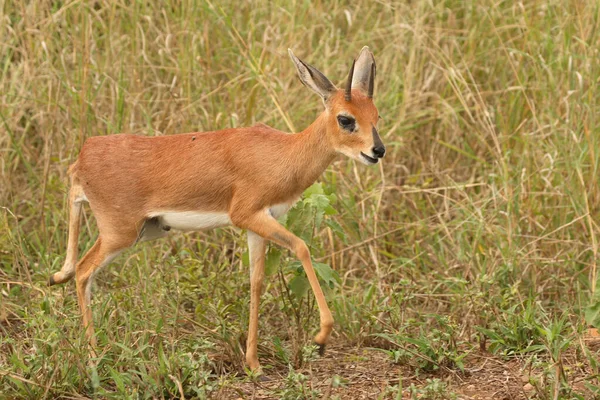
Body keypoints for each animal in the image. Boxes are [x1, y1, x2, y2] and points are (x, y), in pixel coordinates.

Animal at [48, 46, 384, 372]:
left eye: (376, 116)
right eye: (345, 119)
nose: (377, 151)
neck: (282, 153)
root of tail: (86, 154)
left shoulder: (257, 224)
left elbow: (256, 282)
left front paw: (253, 364)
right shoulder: (246, 214)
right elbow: (301, 247)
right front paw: (321, 338)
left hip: (145, 230)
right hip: (119, 233)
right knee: (83, 271)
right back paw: (93, 356)